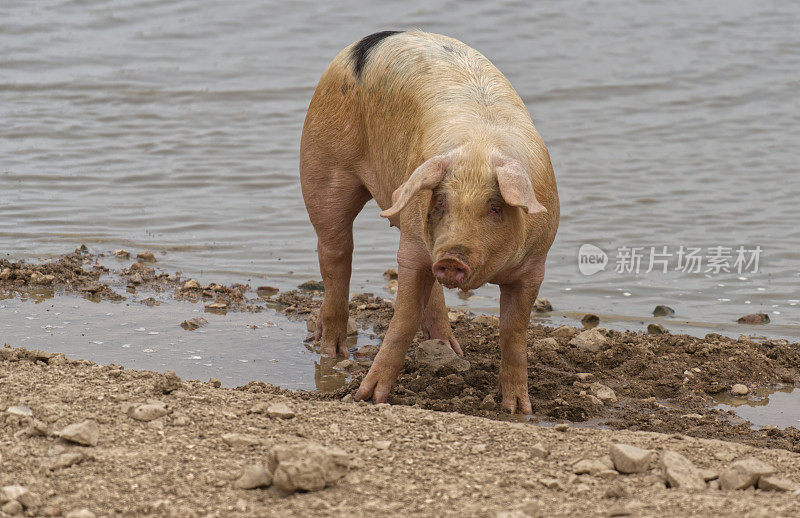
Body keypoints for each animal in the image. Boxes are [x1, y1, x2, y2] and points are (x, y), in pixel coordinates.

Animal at [298, 31, 556, 414]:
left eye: (495, 207)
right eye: (441, 202)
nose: (451, 259)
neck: (478, 150)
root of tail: (365, 43)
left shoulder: (535, 267)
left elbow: (514, 334)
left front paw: (517, 409)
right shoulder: (412, 251)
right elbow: (402, 320)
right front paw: (368, 398)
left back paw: (452, 350)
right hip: (321, 165)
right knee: (335, 255)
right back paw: (331, 351)